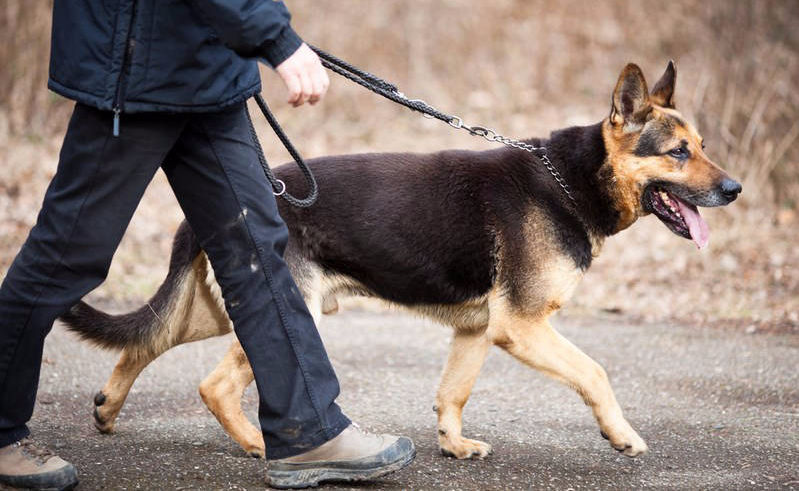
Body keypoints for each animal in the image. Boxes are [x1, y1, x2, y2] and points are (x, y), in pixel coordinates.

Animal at [62, 62, 744, 462]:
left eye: (703, 147)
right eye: (678, 153)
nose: (735, 189)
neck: (571, 181)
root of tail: (231, 208)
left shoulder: (479, 329)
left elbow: (453, 393)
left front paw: (454, 445)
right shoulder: (522, 327)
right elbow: (597, 373)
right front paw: (622, 435)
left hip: (222, 307)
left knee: (145, 342)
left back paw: (108, 409)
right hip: (291, 309)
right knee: (213, 383)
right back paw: (262, 445)